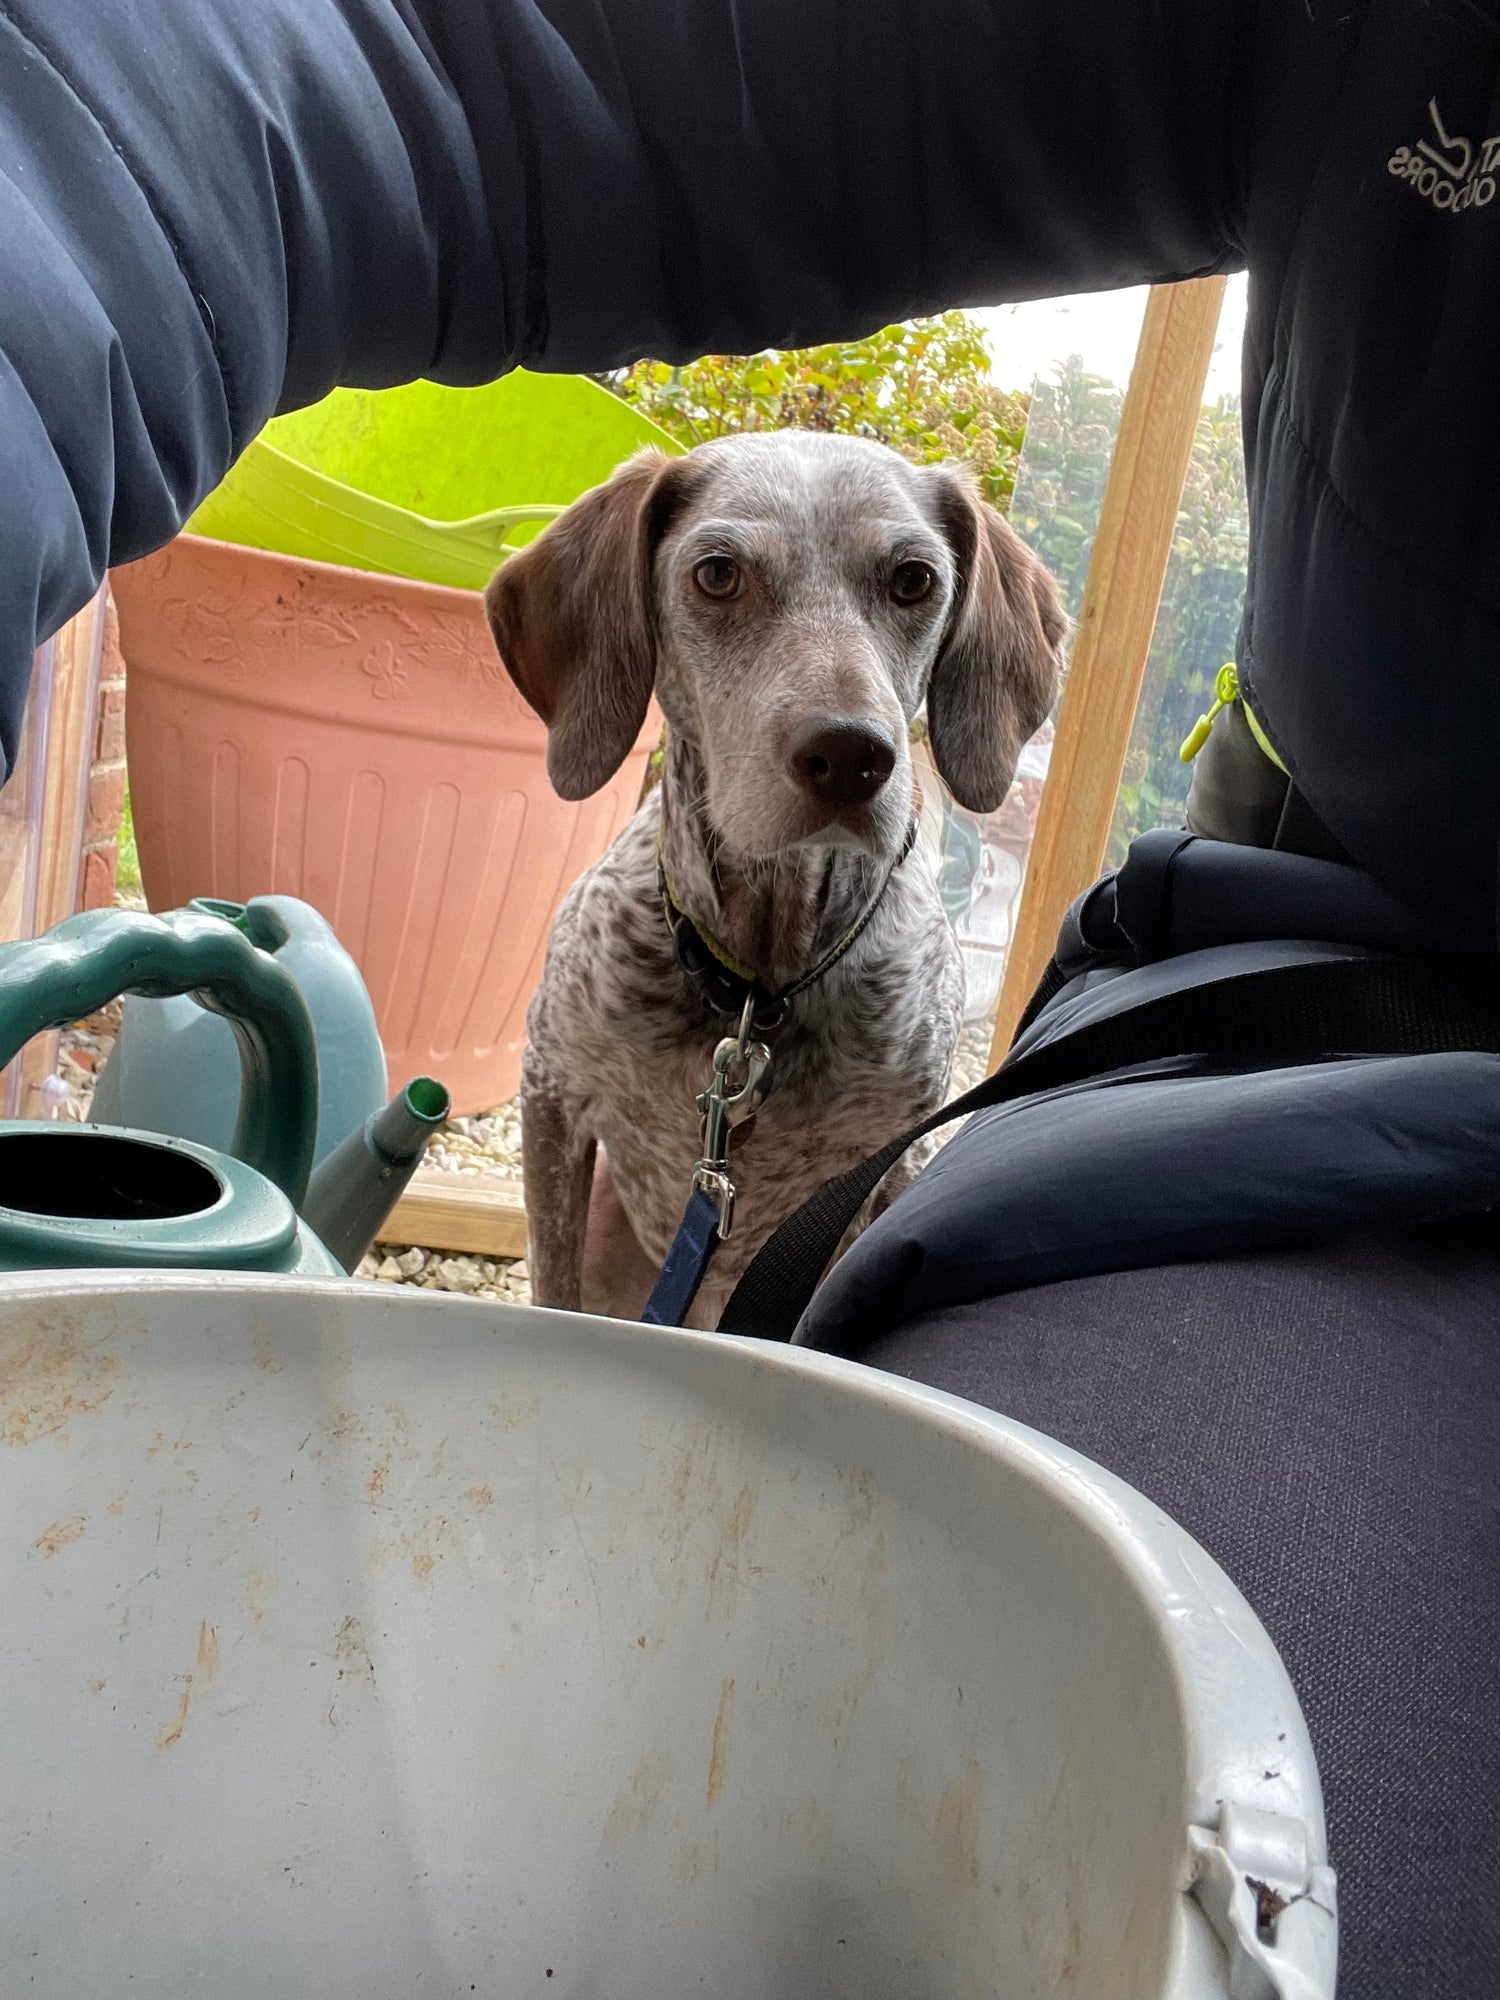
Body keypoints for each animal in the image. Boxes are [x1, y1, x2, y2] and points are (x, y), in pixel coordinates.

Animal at [484, 430, 1072, 1328]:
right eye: (718, 574)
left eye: (914, 579)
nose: (852, 755)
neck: (757, 988)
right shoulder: (552, 1087)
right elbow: (552, 1278)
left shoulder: (883, 1170)